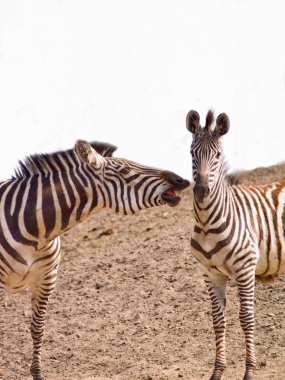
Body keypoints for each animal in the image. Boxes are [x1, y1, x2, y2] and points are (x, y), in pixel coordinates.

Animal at [1, 140, 190, 380]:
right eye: (125, 171)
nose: (181, 180)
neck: (36, 229)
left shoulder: (46, 279)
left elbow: (38, 328)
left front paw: (38, 374)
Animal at [185, 108, 284, 378]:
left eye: (218, 155)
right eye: (191, 153)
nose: (201, 191)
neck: (208, 224)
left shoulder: (245, 268)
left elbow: (246, 318)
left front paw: (249, 371)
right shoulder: (211, 273)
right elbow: (218, 321)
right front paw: (217, 371)